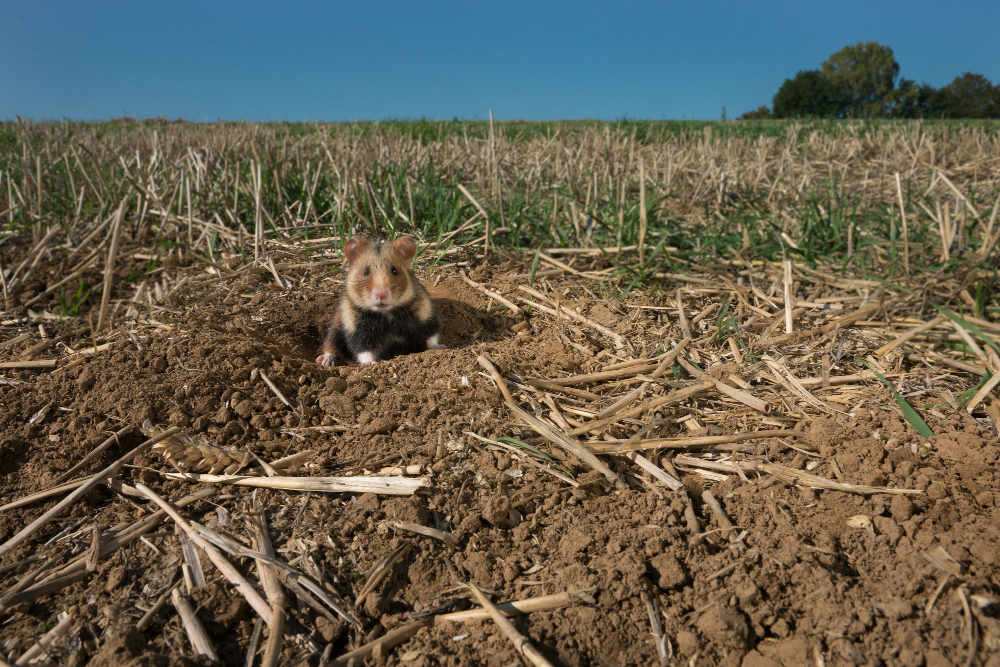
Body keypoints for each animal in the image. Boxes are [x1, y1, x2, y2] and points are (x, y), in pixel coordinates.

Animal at [314, 237, 444, 368]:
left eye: (394, 270)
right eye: (366, 271)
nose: (381, 295)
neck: (386, 314)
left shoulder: (425, 314)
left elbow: (431, 336)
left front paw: (441, 348)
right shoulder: (357, 328)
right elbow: (363, 349)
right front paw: (371, 364)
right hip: (336, 324)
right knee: (331, 342)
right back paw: (325, 361)